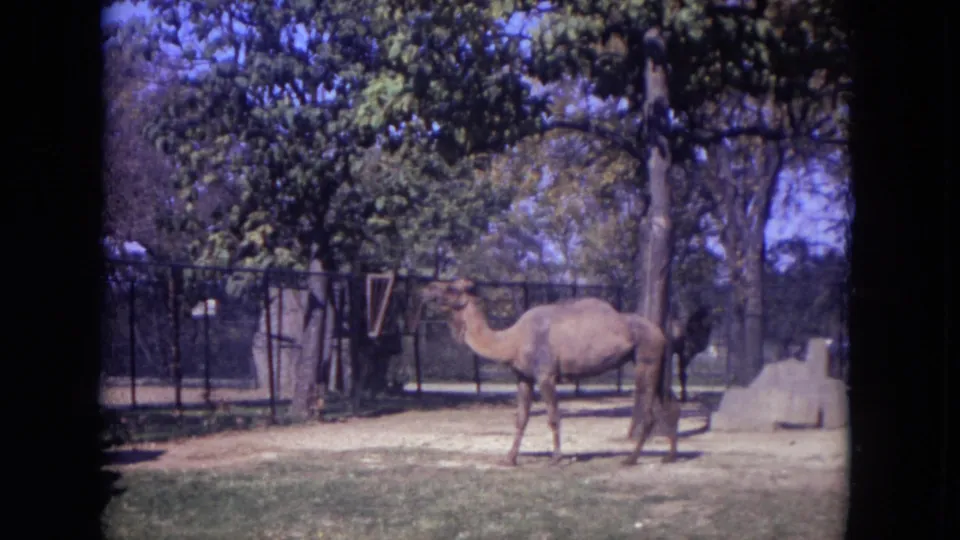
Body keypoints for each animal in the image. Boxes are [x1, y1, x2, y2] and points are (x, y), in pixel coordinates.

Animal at [420, 278, 679, 467]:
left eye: (452, 287)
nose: (428, 288)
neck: (512, 341)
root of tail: (661, 334)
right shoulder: (523, 378)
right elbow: (521, 418)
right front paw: (509, 459)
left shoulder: (546, 375)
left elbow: (553, 417)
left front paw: (556, 458)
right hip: (655, 362)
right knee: (669, 403)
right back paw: (669, 456)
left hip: (646, 358)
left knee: (649, 410)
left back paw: (631, 459)